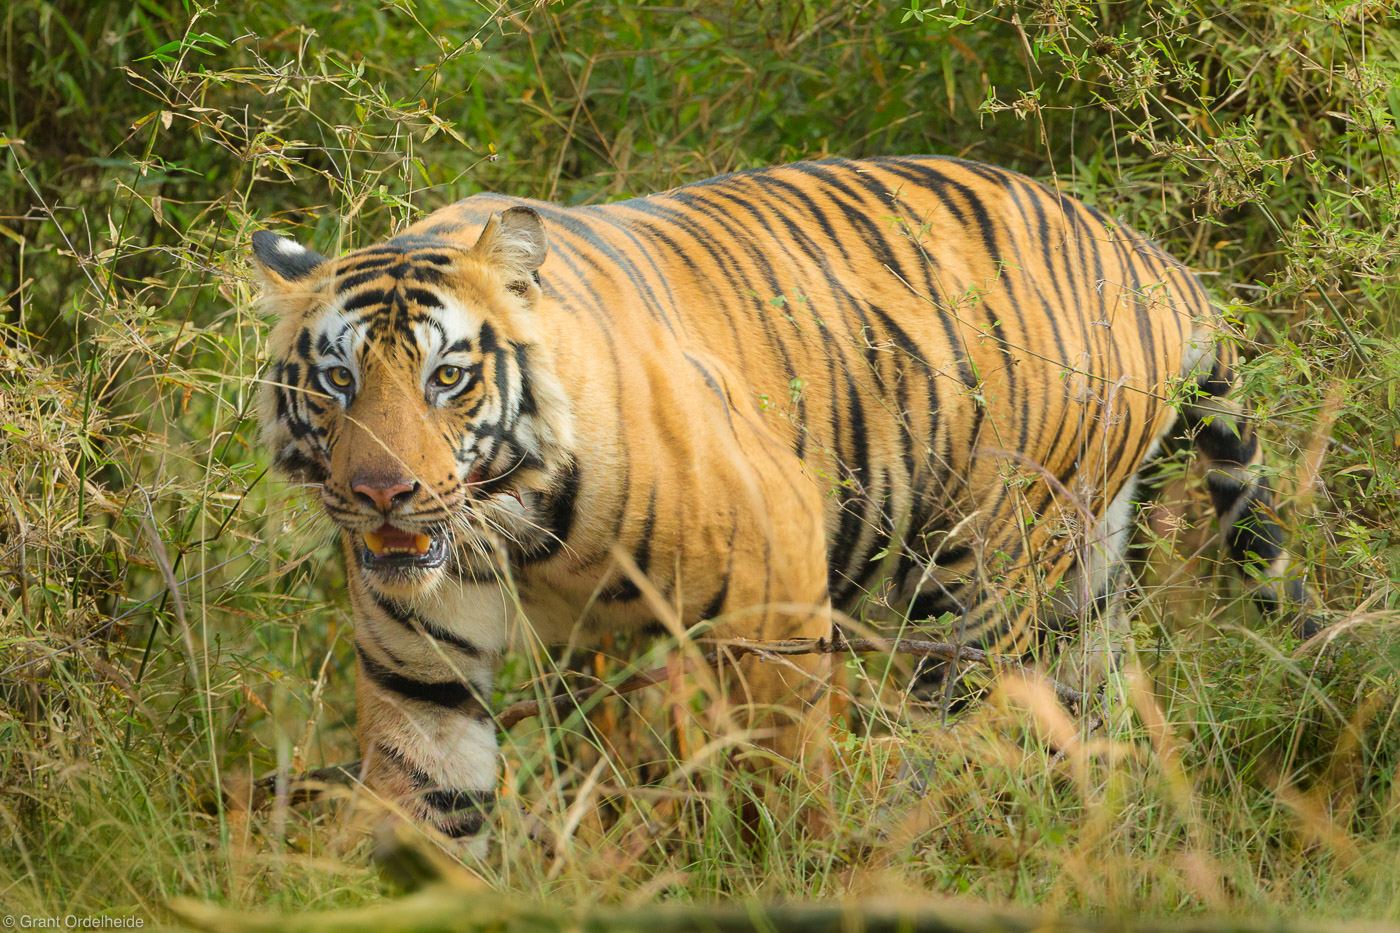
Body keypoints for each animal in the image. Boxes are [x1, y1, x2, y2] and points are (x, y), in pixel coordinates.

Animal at [252, 152, 1310, 851]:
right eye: (339, 381)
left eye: (448, 378)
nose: (382, 491)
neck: (518, 533)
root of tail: (1154, 259)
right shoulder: (421, 675)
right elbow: (432, 812)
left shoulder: (776, 592)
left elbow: (785, 776)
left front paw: (795, 868)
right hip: (1081, 573)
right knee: (1090, 714)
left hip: (977, 573)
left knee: (959, 729)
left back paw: (905, 841)